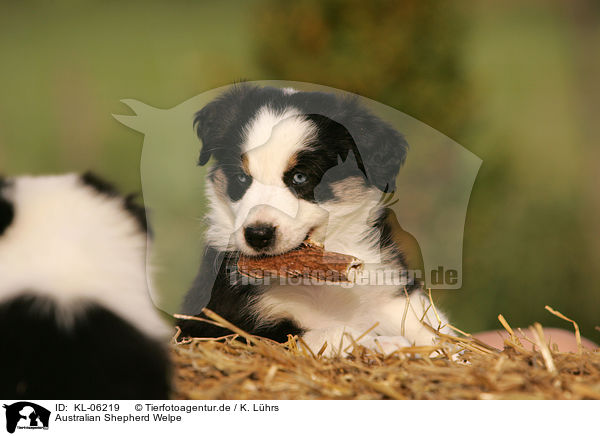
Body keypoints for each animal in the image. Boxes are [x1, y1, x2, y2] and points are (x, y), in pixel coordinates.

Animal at [178, 84, 450, 354]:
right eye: (242, 178)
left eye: (300, 177)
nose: (257, 235)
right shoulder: (230, 323)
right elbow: (333, 333)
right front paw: (384, 344)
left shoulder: (390, 289)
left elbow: (430, 327)